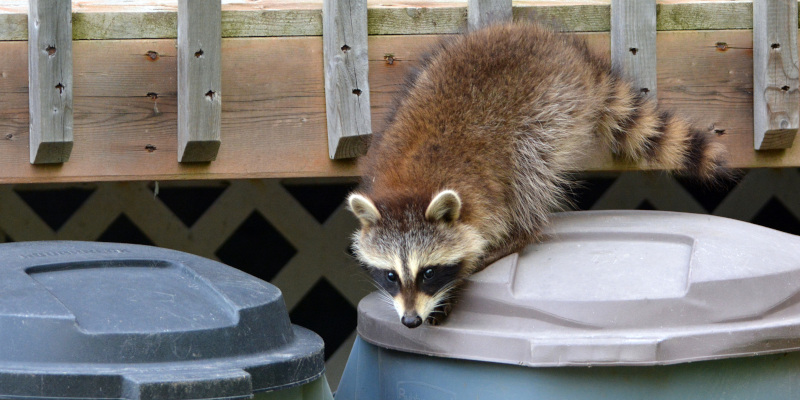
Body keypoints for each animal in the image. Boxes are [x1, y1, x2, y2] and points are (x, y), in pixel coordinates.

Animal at [346, 21, 728, 328]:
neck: (412, 186)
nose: (410, 321)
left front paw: (462, 275)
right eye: (391, 275)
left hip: (550, 112)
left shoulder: (485, 197)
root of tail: (571, 55)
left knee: (529, 168)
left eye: (428, 272)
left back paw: (523, 230)